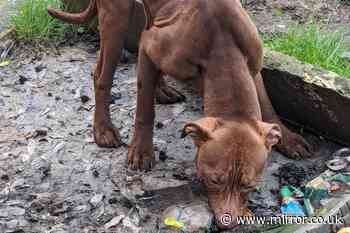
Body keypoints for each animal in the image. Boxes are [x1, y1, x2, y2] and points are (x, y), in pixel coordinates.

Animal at [128, 0, 312, 229]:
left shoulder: (252, 67)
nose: (228, 223)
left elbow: (268, 105)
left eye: (248, 186)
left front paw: (287, 139)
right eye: (214, 180)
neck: (222, 46)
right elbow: (145, 107)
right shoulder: (148, 45)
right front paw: (141, 149)